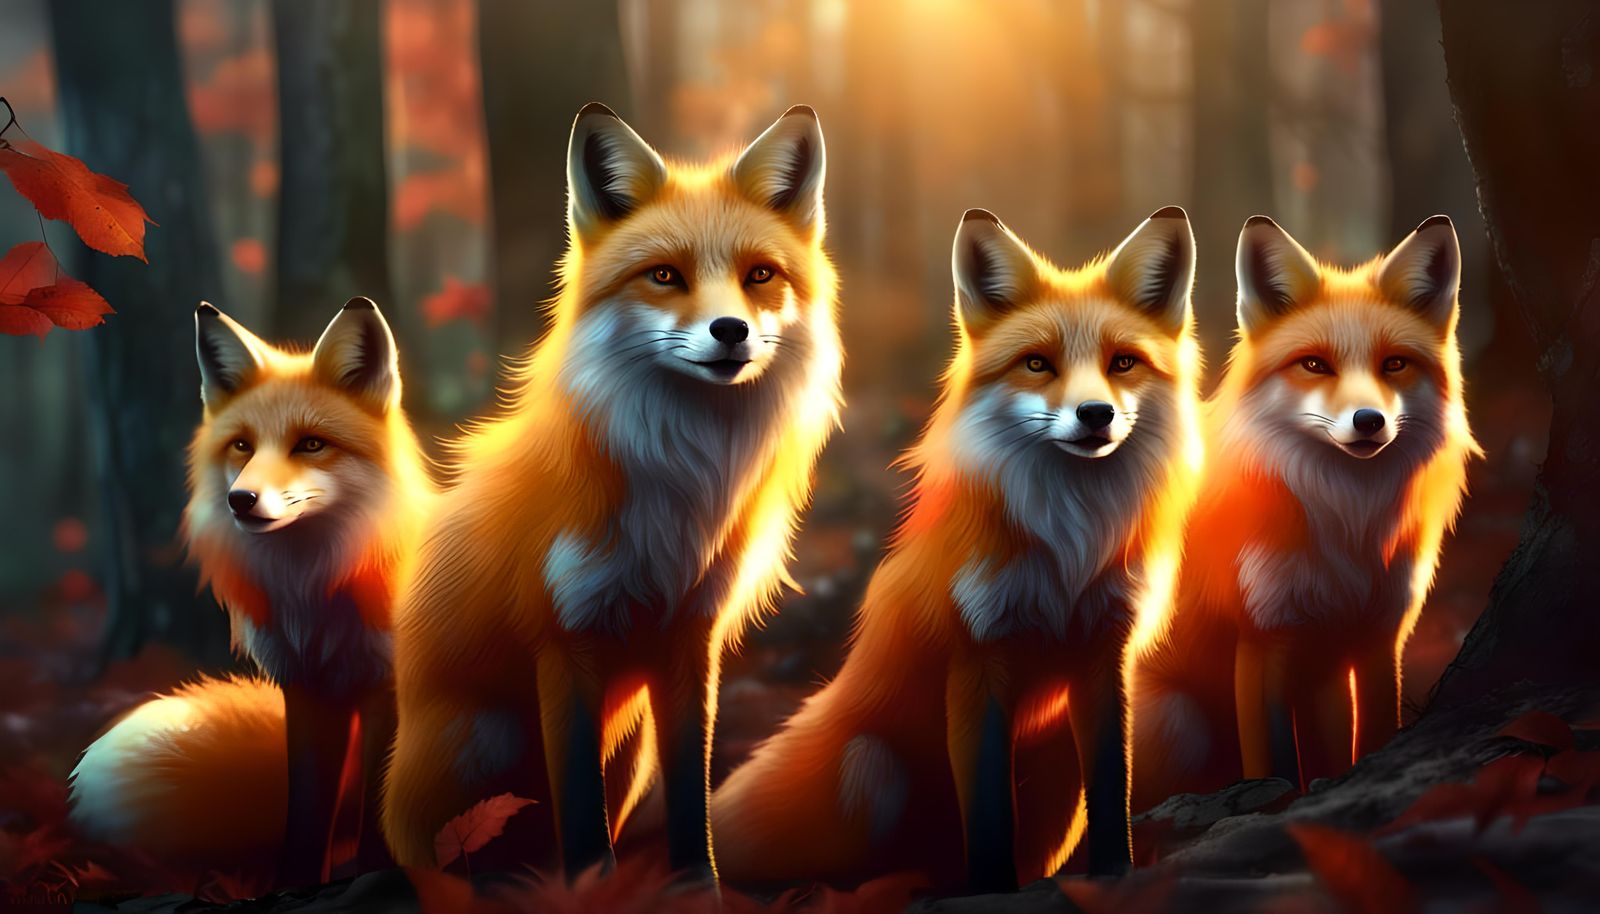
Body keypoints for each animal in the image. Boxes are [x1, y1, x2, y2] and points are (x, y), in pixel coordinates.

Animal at [68, 299, 434, 887]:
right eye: (242, 445)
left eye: (311, 443)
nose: (241, 500)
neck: (316, 595)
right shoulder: (310, 690)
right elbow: (305, 816)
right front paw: (294, 886)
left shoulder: (389, 689)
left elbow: (378, 821)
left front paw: (376, 876)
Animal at [380, 103, 842, 883]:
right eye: (664, 275)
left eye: (760, 275)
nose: (730, 331)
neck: (682, 484)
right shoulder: (564, 641)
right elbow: (582, 820)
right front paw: (588, 891)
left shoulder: (692, 638)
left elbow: (692, 799)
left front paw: (696, 889)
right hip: (482, 741)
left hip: (630, 749)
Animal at [708, 207, 1203, 892]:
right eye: (1037, 364)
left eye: (1123, 362)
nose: (1096, 413)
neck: (1066, 548)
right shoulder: (976, 658)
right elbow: (991, 808)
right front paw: (993, 887)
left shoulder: (1105, 653)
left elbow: (1111, 786)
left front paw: (1114, 875)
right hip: (867, 768)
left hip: (1053, 772)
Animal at [1132, 215, 1479, 808]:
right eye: (1314, 365)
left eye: (1394, 364)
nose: (1369, 421)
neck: (1347, 523)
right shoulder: (1262, 637)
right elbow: (1274, 757)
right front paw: (1278, 798)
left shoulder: (1380, 635)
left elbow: (1377, 732)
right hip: (1178, 723)